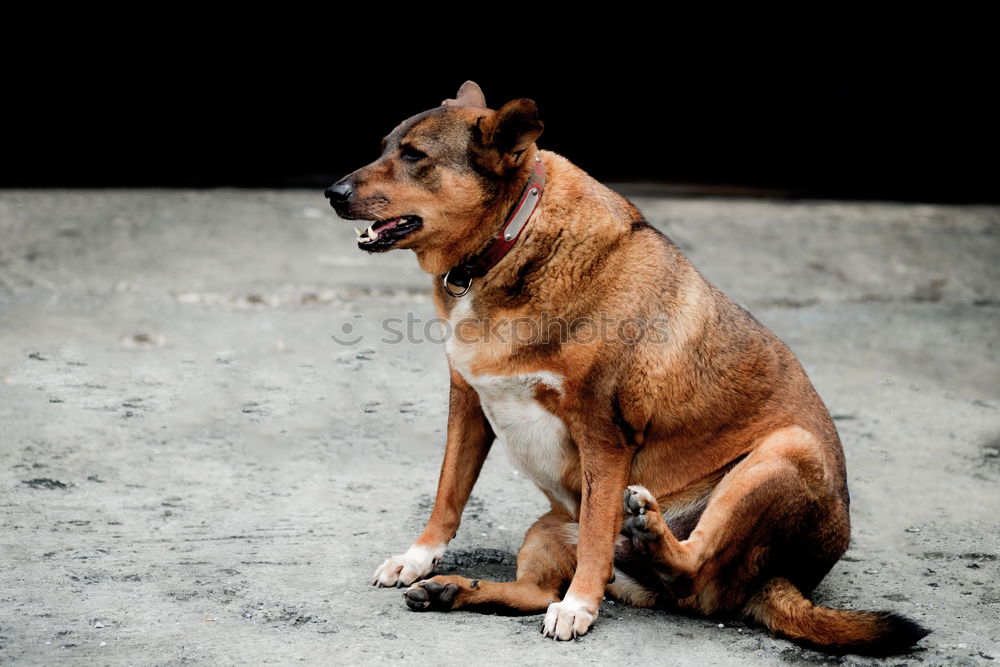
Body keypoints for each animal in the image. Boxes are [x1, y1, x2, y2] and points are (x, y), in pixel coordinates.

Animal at [326, 81, 928, 656]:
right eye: (387, 147)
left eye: (414, 156)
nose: (332, 194)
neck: (513, 239)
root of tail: (779, 581)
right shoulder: (468, 403)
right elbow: (447, 495)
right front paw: (418, 559)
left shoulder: (603, 435)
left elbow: (595, 534)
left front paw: (580, 606)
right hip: (549, 528)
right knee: (537, 592)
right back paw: (454, 590)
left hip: (785, 451)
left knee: (690, 569)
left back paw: (648, 532)